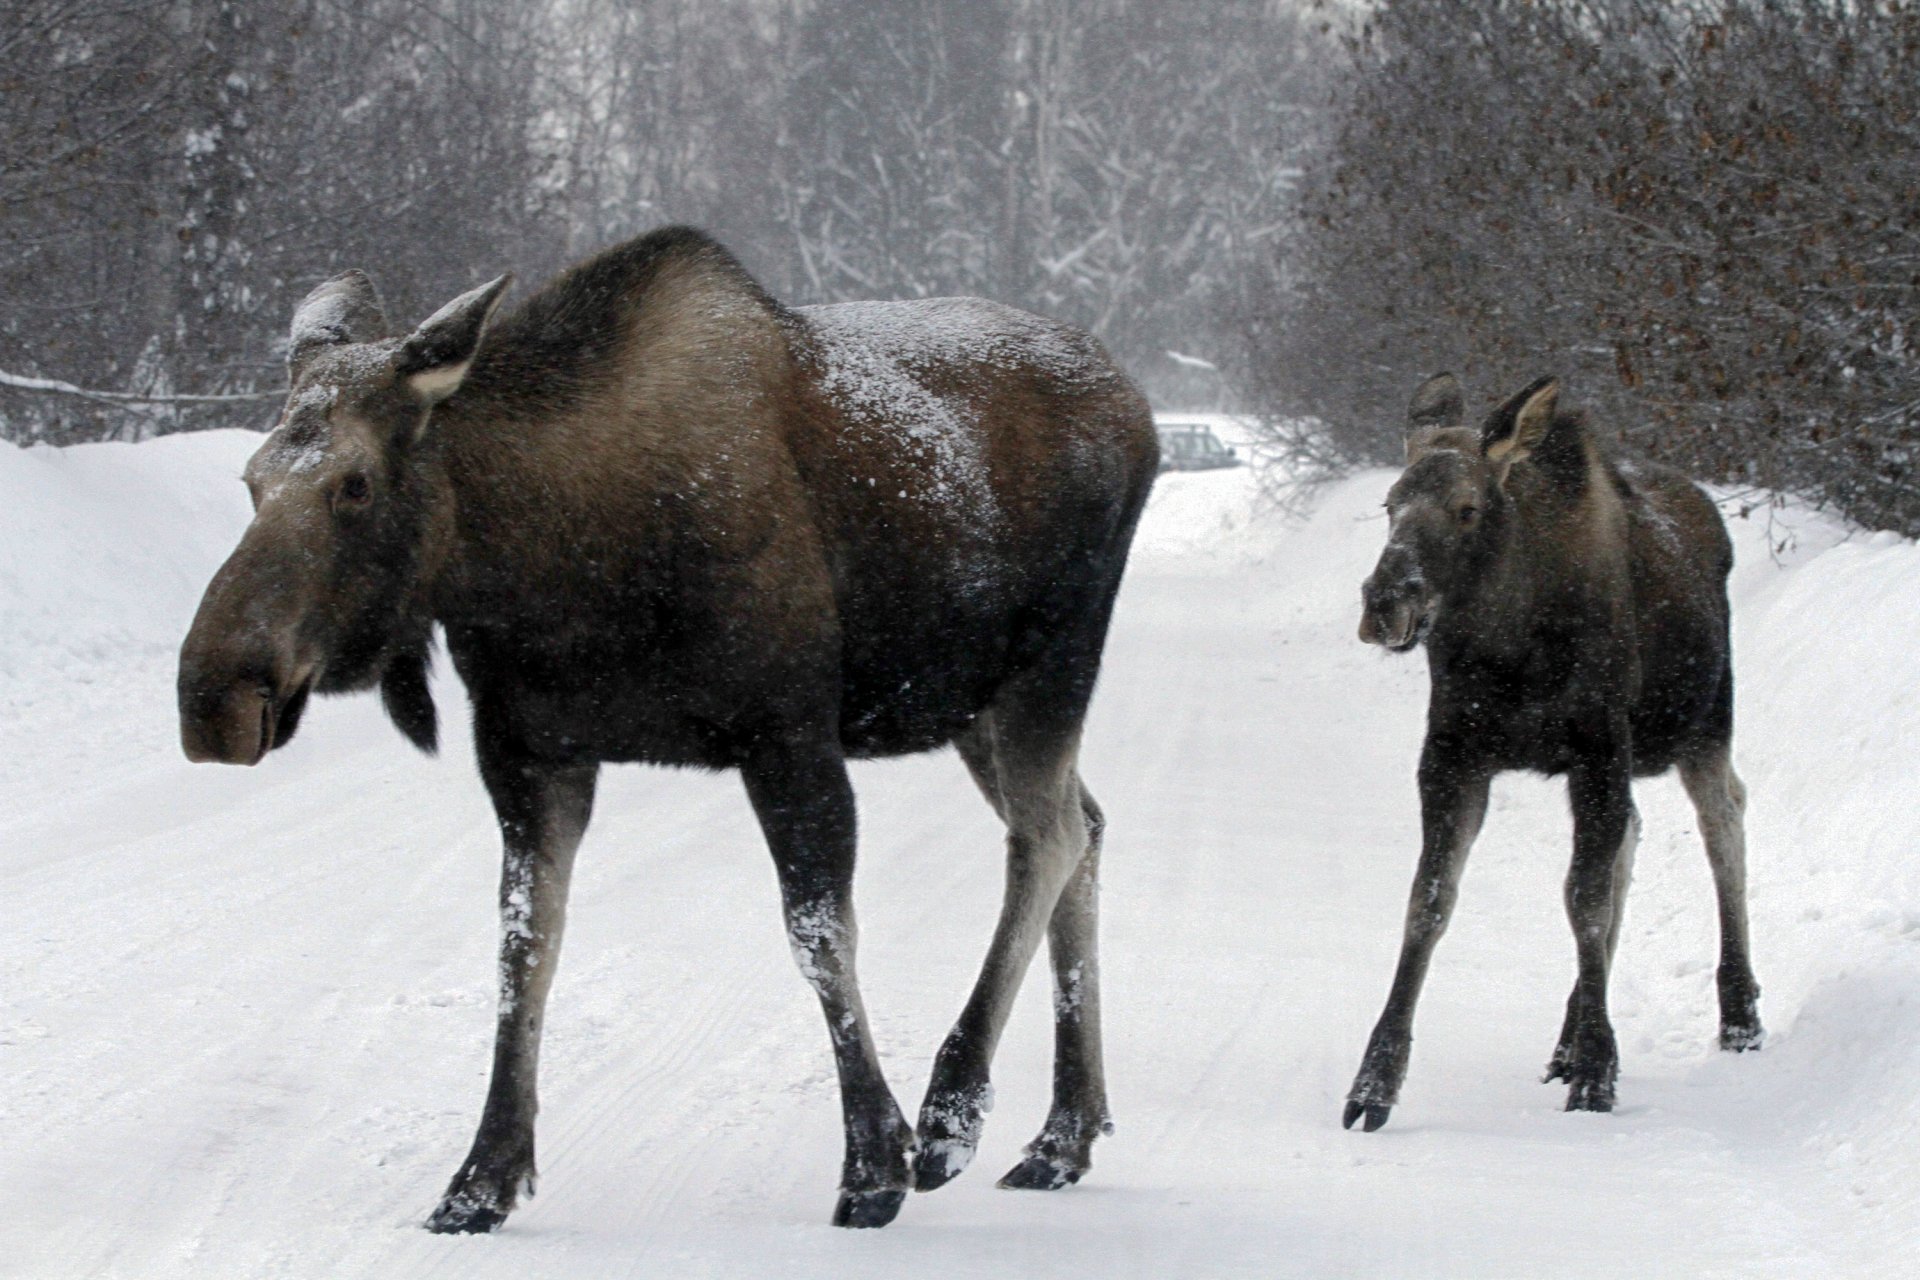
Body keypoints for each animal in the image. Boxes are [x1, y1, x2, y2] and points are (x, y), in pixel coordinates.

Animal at [176, 227, 1152, 1228]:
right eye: (251, 481)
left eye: (356, 484)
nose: (213, 698)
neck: (550, 564)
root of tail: (1135, 405)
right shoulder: (529, 751)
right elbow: (524, 946)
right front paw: (483, 1174)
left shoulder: (787, 732)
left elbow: (819, 934)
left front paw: (874, 1160)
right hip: (971, 705)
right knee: (1086, 824)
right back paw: (1064, 1132)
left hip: (1051, 663)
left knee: (1047, 836)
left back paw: (955, 1111)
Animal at [1344, 372, 1758, 1128]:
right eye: (1390, 504)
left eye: (1468, 507)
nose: (1385, 603)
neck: (1511, 645)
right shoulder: (1452, 754)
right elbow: (1429, 900)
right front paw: (1374, 1082)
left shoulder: (1598, 749)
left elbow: (1583, 900)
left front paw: (1597, 1073)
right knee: (1632, 839)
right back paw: (1568, 1038)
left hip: (1705, 725)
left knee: (1724, 825)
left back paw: (1739, 1013)